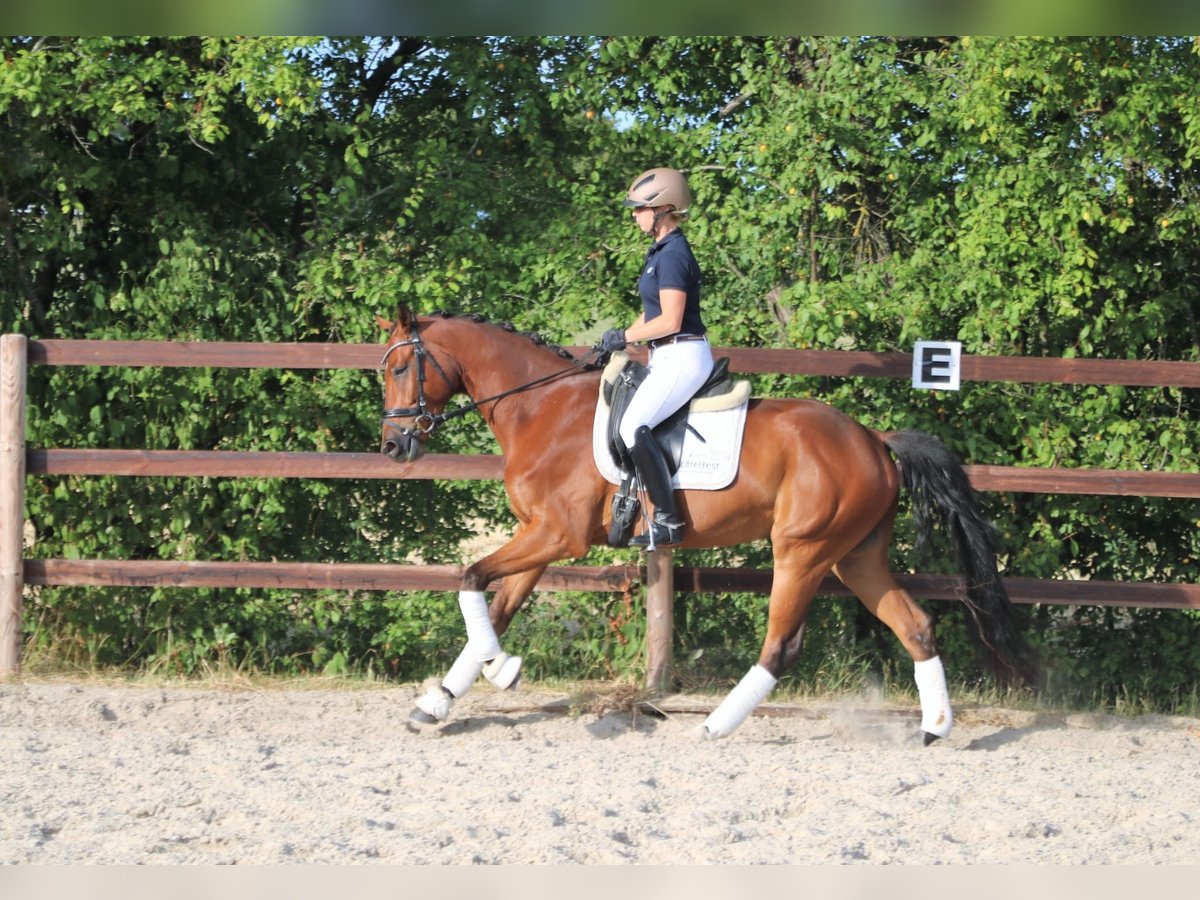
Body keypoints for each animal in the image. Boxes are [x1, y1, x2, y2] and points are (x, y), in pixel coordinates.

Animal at [376, 307, 1032, 744]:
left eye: (402, 368)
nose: (393, 446)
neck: (541, 408)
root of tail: (874, 439)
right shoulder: (539, 538)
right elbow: (496, 603)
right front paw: (440, 701)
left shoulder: (557, 535)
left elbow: (470, 579)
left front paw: (501, 669)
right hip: (856, 556)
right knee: (915, 625)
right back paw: (935, 728)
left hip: (803, 551)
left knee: (782, 644)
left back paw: (716, 725)